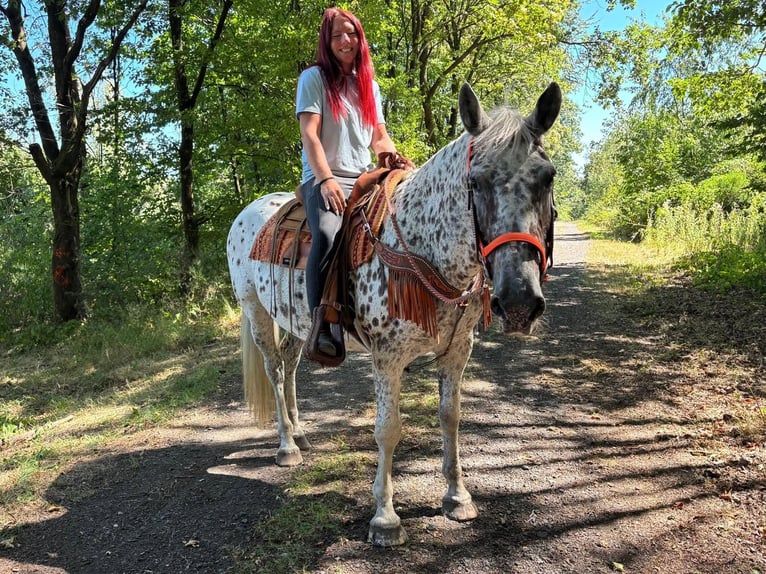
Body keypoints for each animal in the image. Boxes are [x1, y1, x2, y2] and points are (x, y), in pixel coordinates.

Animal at [226, 81, 561, 546]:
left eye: (548, 178)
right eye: (475, 182)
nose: (518, 302)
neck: (422, 247)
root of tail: (248, 213)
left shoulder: (458, 350)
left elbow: (451, 417)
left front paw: (457, 497)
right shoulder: (387, 358)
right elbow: (388, 429)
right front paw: (385, 518)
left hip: (292, 321)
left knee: (290, 366)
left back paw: (301, 433)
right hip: (255, 310)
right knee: (275, 372)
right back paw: (286, 446)